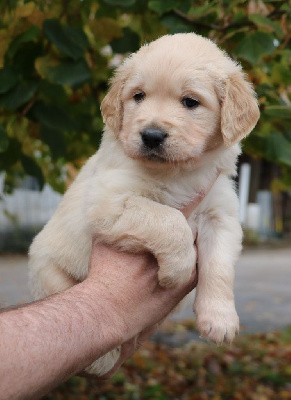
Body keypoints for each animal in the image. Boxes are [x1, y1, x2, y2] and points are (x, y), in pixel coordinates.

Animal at [29, 33, 260, 376]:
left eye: (190, 102)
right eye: (138, 96)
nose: (151, 135)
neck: (178, 173)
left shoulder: (220, 214)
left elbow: (219, 266)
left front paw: (220, 319)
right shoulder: (110, 200)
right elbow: (169, 221)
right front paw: (177, 270)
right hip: (50, 272)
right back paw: (102, 359)